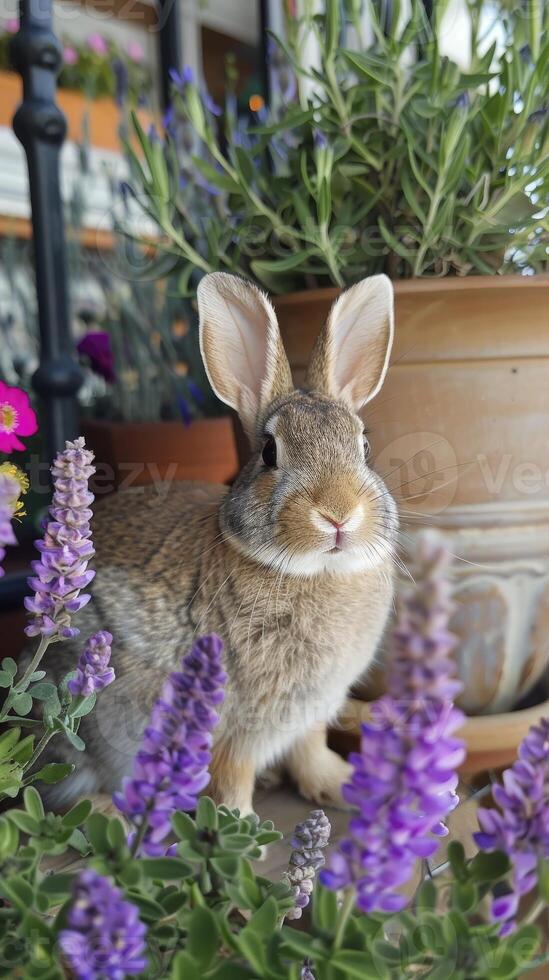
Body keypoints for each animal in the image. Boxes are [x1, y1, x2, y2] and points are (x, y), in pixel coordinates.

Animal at [38, 272, 398, 816]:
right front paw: (238, 824)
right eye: (269, 452)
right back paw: (110, 811)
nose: (339, 514)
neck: (314, 571)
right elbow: (231, 777)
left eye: (365, 447)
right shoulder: (231, 724)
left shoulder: (309, 713)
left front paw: (342, 787)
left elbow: (311, 752)